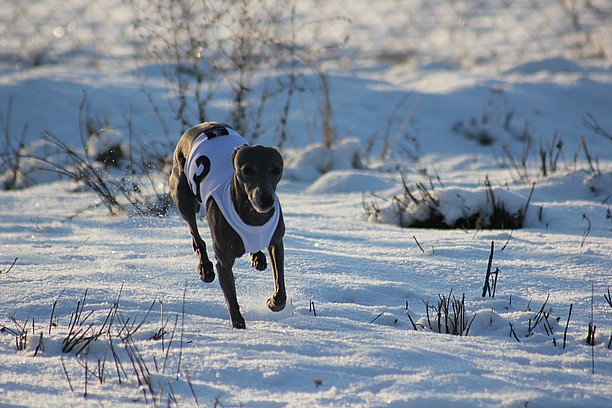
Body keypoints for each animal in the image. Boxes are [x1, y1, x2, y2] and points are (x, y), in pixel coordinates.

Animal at [170, 121, 286, 328]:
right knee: (194, 232)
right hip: (182, 195)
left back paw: (258, 257)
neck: (253, 217)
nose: (265, 200)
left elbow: (280, 283)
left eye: (276, 169)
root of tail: (201, 126)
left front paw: (274, 302)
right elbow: (231, 298)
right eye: (247, 170)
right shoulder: (223, 262)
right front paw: (238, 326)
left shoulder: (276, 242)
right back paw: (205, 268)